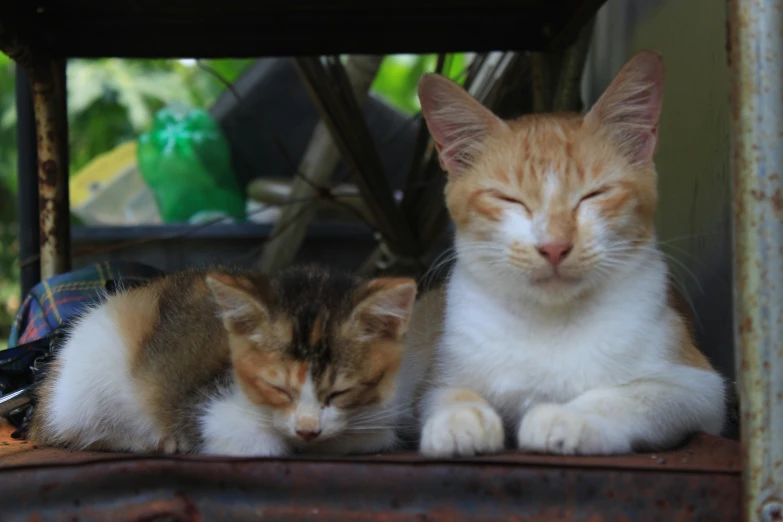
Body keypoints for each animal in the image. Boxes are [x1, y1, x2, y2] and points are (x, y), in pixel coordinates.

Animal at [29, 264, 422, 456]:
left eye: (340, 392)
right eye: (277, 387)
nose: (308, 430)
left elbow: (374, 435)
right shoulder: (208, 406)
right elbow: (255, 443)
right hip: (84, 389)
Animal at [414, 49, 724, 456]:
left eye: (595, 194)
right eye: (509, 199)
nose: (554, 246)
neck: (551, 323)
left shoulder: (700, 388)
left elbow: (629, 395)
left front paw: (568, 416)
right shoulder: (441, 370)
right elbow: (445, 391)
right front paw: (459, 418)